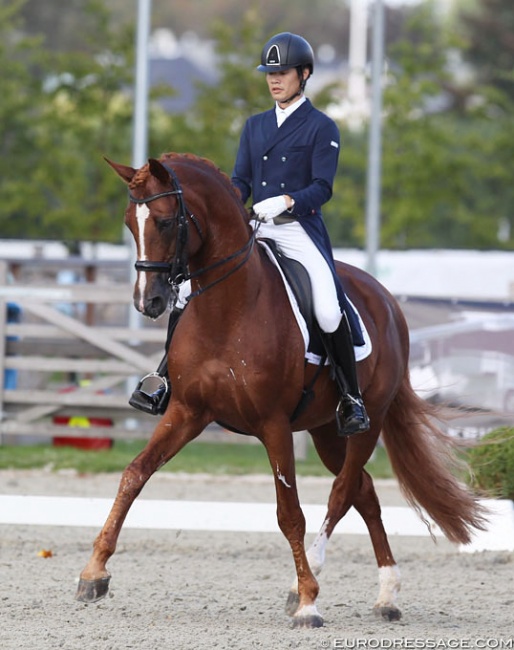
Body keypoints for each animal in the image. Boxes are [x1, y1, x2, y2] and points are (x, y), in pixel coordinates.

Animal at [76, 152, 484, 628]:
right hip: (327, 431)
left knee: (342, 491)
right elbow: (134, 475)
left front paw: (308, 601)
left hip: (369, 421)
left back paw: (312, 583)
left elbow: (290, 514)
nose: (149, 303)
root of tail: (386, 300)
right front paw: (93, 574)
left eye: (163, 220)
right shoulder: (188, 411)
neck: (228, 309)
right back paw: (386, 595)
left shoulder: (273, 425)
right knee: (364, 492)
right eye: (129, 223)